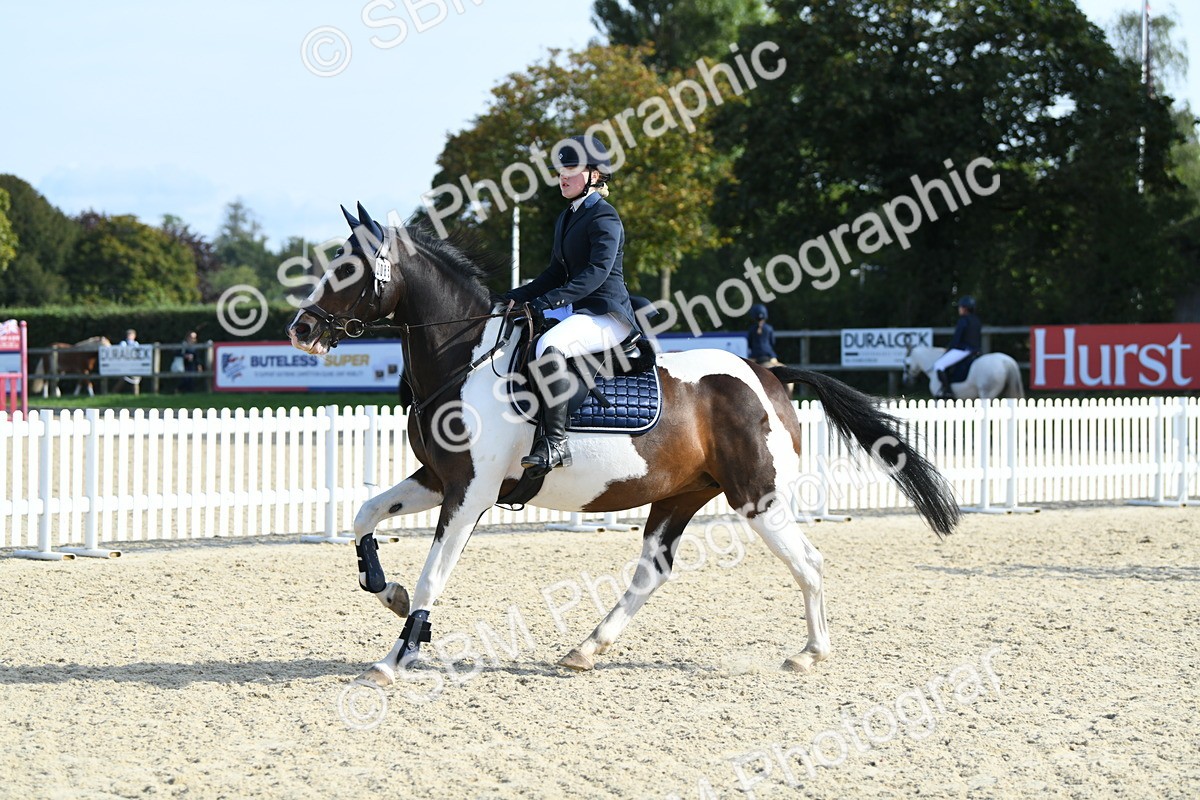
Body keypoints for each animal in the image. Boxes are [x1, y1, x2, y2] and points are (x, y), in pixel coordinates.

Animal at [286, 203, 960, 687]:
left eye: (348, 269)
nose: (301, 327)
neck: (464, 358)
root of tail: (768, 374)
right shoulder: (438, 479)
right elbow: (364, 515)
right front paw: (387, 590)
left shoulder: (469, 493)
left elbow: (434, 577)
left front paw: (398, 654)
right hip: (681, 495)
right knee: (653, 571)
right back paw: (587, 649)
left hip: (757, 497)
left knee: (808, 562)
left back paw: (810, 653)